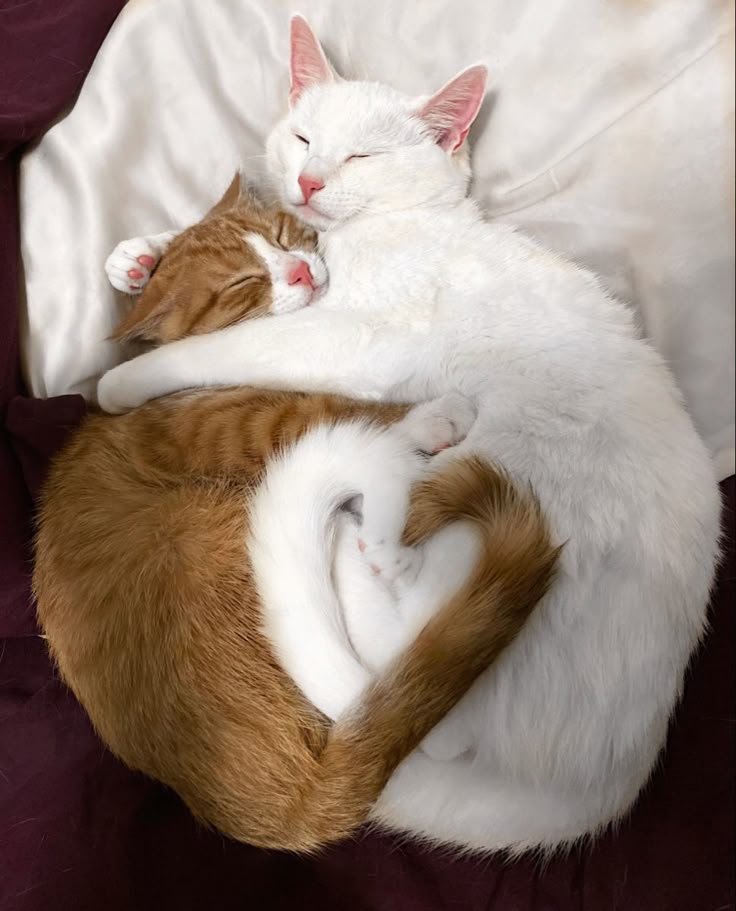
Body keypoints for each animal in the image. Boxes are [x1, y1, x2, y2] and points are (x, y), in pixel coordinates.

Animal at [34, 182, 559, 852]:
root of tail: (284, 807)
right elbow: (313, 412)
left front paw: (137, 262)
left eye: (284, 237)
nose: (302, 271)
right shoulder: (220, 426)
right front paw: (429, 418)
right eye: (241, 284)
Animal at [95, 15, 723, 854]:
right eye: (303, 138)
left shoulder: (353, 336)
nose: (311, 182)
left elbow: (228, 344)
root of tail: (598, 785)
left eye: (363, 156)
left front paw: (126, 376)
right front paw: (141, 255)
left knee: (399, 656)